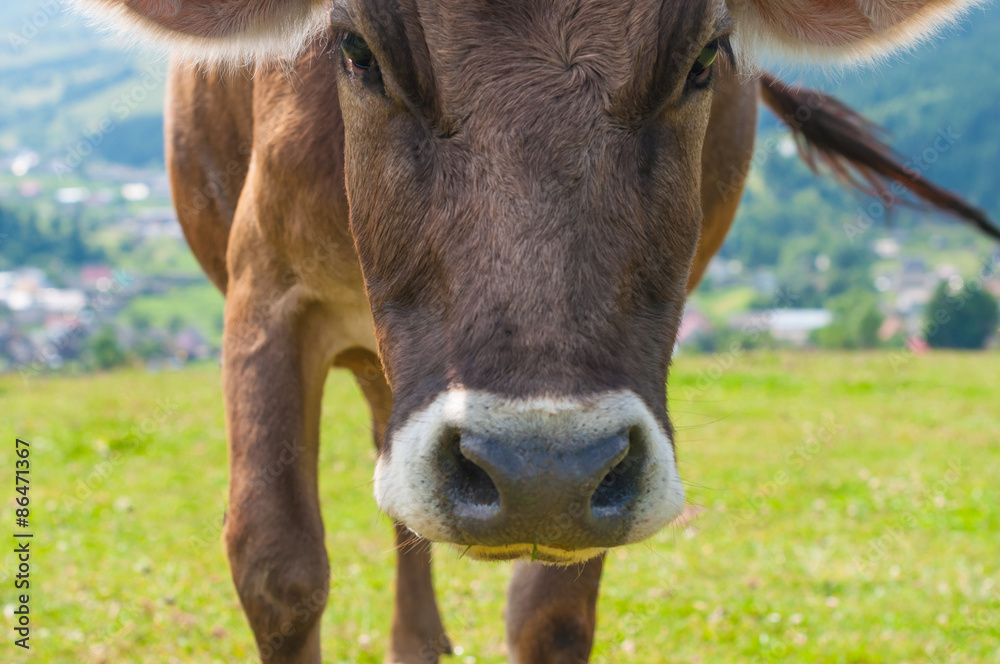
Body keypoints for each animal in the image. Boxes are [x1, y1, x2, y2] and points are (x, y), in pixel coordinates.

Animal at [80, 1, 1000, 664]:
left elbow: (551, 613)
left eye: (705, 59)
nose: (539, 473)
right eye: (356, 50)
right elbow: (278, 565)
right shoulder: (270, 288)